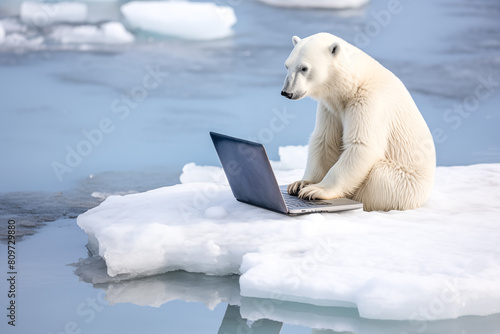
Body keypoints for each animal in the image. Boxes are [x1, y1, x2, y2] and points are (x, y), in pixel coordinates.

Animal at [284, 33, 436, 211]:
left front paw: (316, 190)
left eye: (304, 68)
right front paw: (300, 184)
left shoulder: (369, 102)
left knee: (378, 175)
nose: (286, 92)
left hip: (405, 184)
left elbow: (362, 145)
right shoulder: (331, 108)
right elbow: (325, 140)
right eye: (287, 66)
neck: (354, 83)